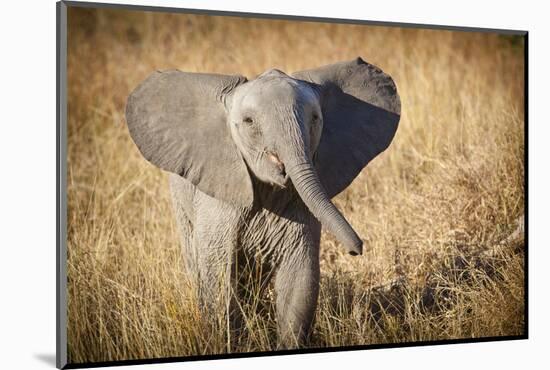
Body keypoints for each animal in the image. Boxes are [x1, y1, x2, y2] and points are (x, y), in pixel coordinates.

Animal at [126, 57, 402, 346]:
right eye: (249, 121)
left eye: (315, 119)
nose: (357, 250)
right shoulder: (219, 197)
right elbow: (218, 276)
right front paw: (227, 342)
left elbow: (299, 279)